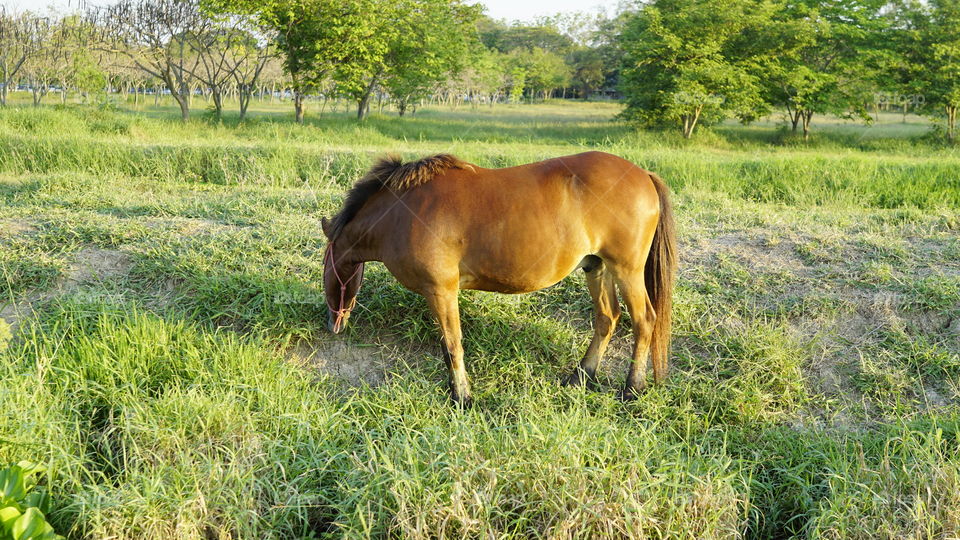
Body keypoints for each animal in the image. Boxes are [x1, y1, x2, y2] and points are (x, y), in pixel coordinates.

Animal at [320, 151, 677, 406]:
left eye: (326, 267)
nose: (333, 323)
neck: (401, 212)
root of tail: (644, 175)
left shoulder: (441, 291)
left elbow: (453, 343)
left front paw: (462, 396)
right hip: (597, 267)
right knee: (607, 318)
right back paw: (580, 377)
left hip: (626, 271)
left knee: (644, 321)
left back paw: (632, 389)